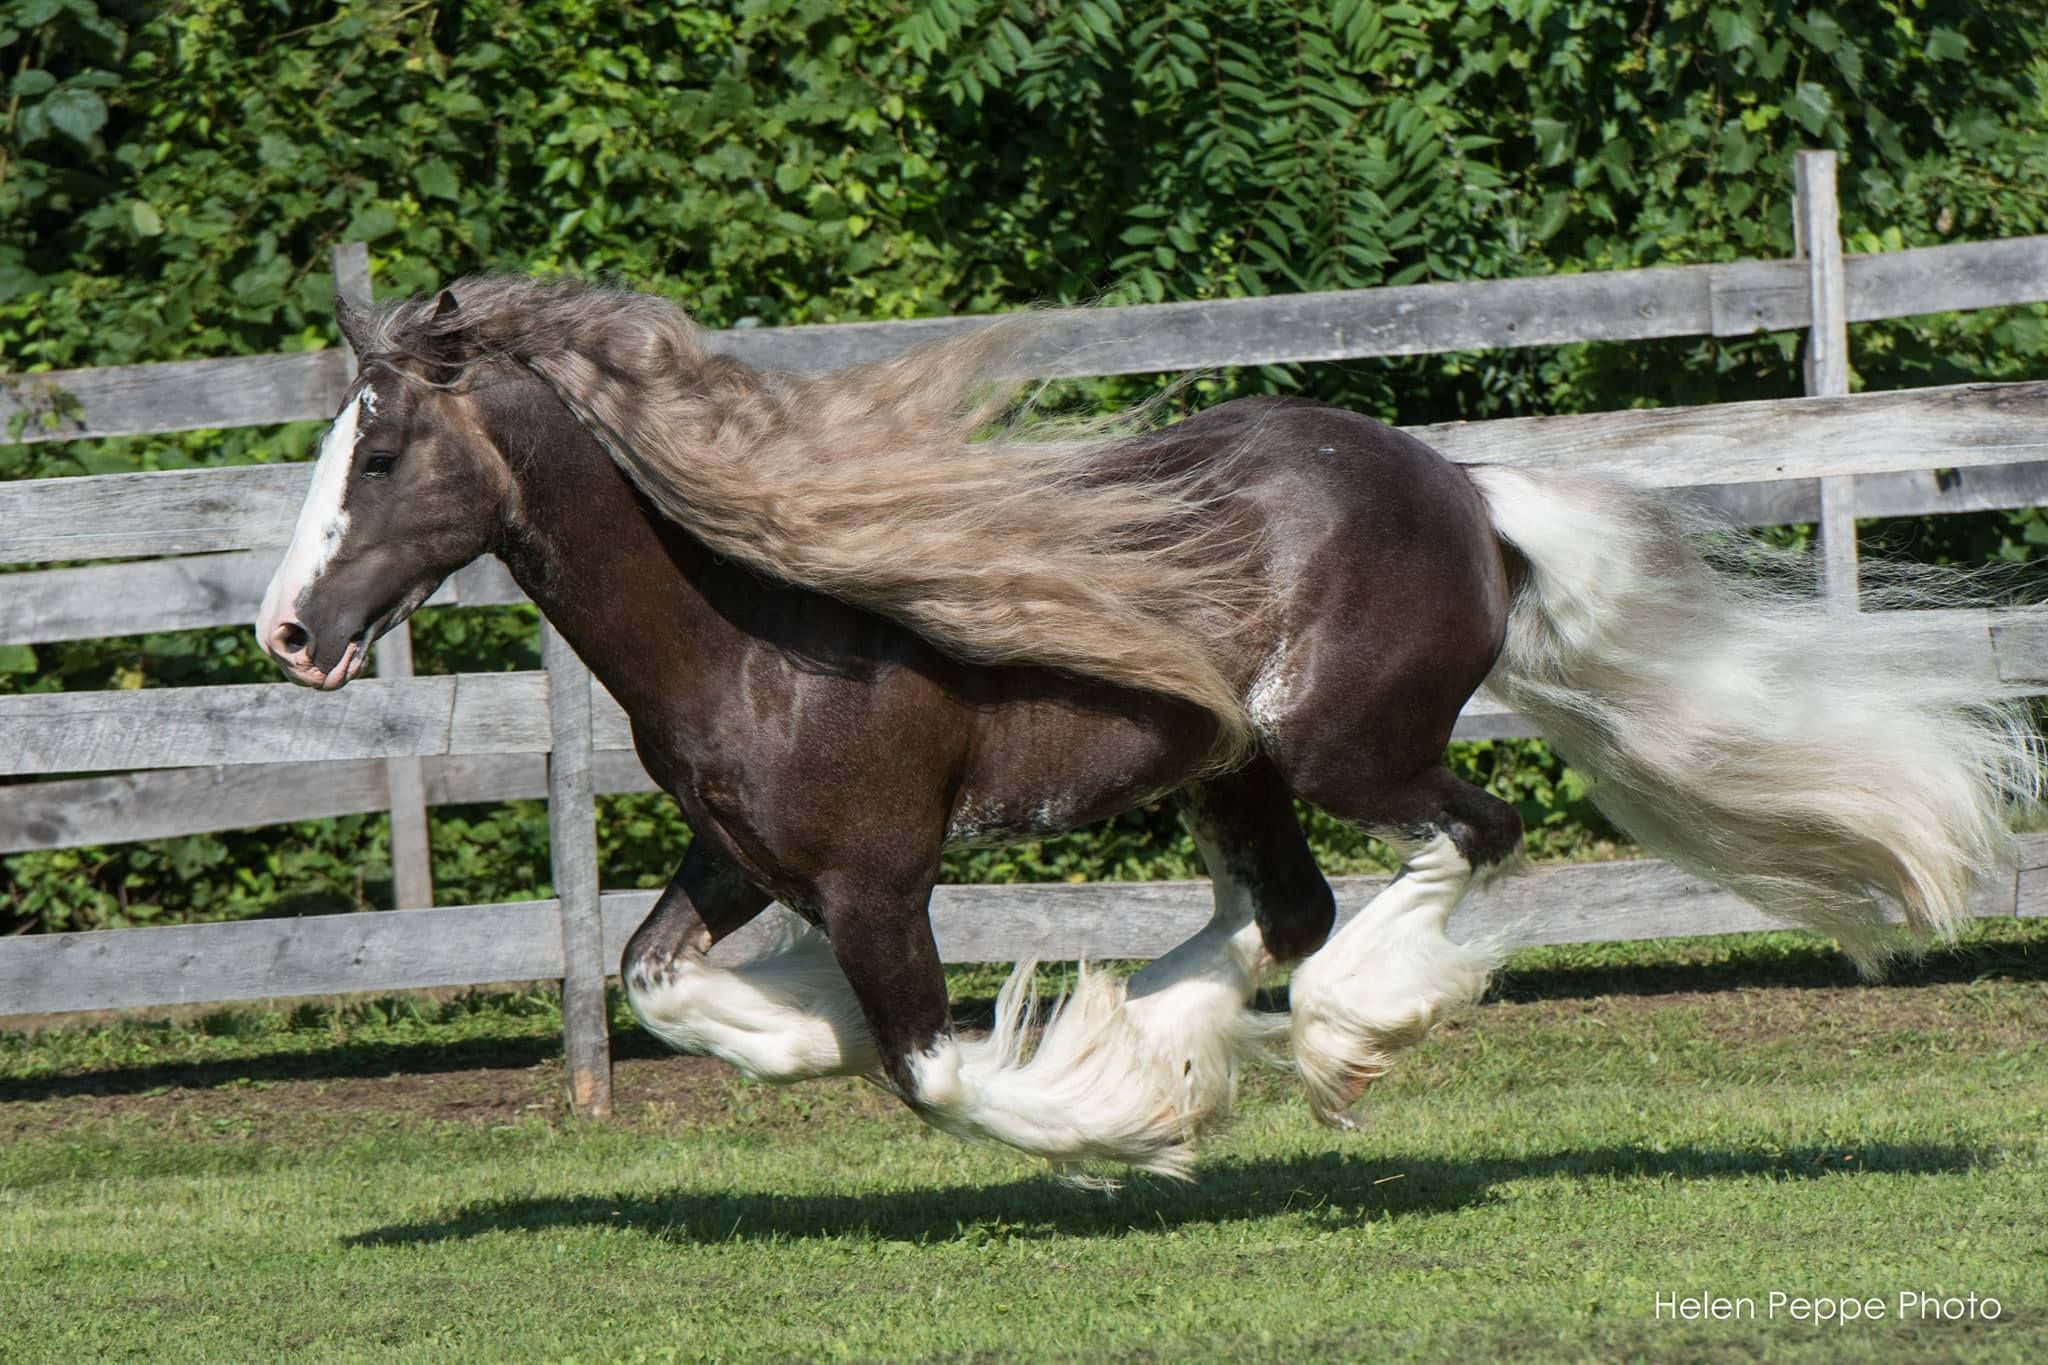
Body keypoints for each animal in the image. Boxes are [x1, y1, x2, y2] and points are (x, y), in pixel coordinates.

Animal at [256, 277, 2036, 1180]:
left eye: (385, 451)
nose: (287, 635)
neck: (754, 625)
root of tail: (1464, 490)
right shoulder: (741, 856)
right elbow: (661, 986)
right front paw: (822, 1029)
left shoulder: (881, 876)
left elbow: (935, 1071)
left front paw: (1117, 1115)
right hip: (1240, 770)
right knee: (1290, 907)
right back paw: (1195, 1020)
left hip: (1343, 746)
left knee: (1468, 837)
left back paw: (1335, 1036)